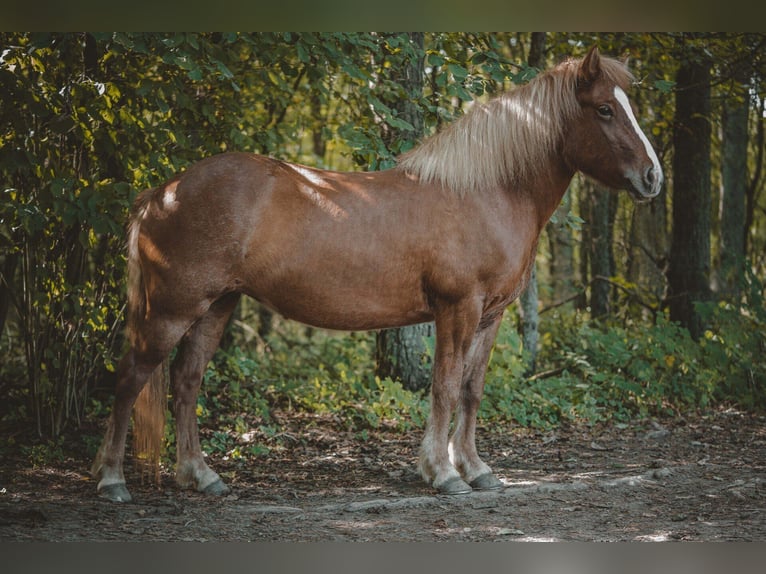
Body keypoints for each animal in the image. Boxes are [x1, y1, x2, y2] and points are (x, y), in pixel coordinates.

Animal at [93, 46, 664, 504]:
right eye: (605, 109)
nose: (653, 178)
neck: (487, 191)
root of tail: (163, 192)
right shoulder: (457, 308)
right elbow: (444, 386)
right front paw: (442, 474)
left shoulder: (491, 316)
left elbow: (472, 389)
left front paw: (476, 469)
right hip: (172, 308)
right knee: (131, 379)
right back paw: (112, 481)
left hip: (216, 306)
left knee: (186, 382)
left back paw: (201, 476)